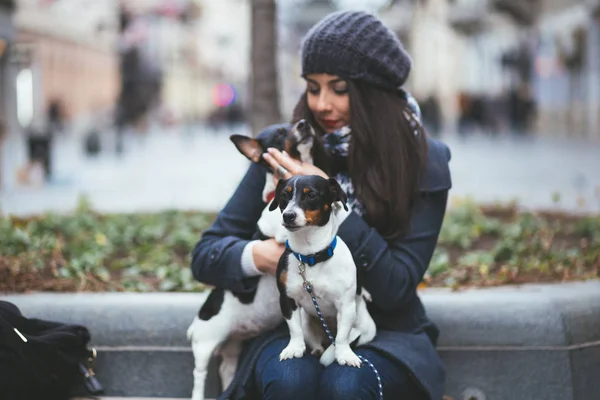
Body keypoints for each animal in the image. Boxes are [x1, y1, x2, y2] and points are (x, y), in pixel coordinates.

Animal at [270, 175, 378, 368]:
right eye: (284, 195)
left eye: (311, 195)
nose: (288, 215)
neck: (310, 256)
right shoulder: (287, 299)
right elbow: (294, 329)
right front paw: (294, 348)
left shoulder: (346, 305)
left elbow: (342, 336)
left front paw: (344, 354)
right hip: (307, 322)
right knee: (314, 341)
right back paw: (317, 349)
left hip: (366, 328)